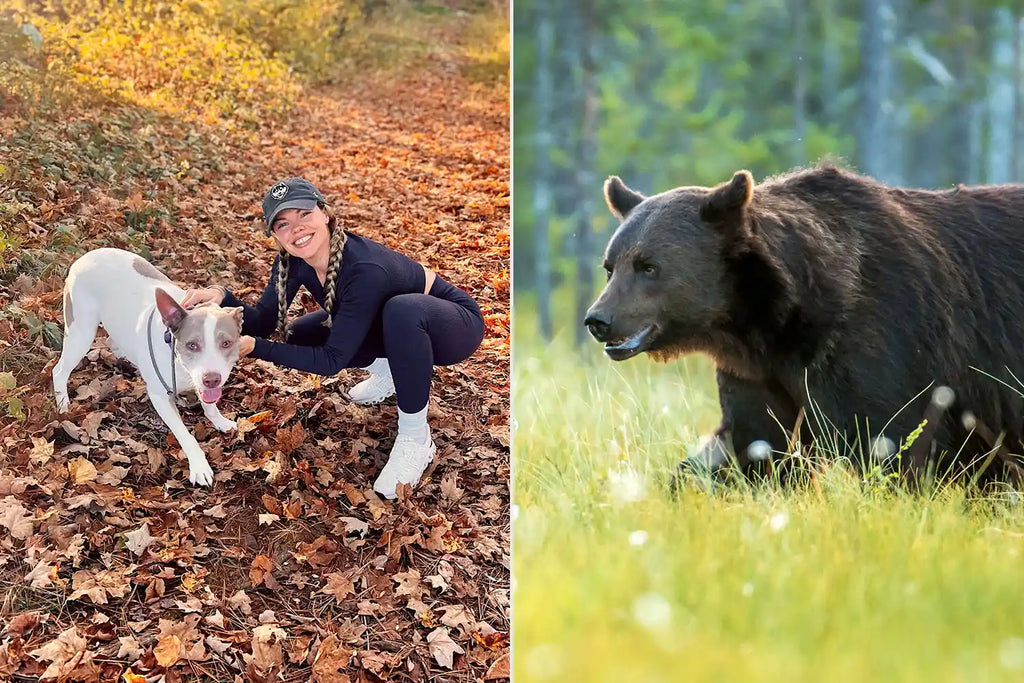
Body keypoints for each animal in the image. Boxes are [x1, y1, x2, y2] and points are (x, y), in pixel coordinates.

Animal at [584, 164, 1024, 483]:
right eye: (610, 266)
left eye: (649, 266)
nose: (598, 320)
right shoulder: (761, 374)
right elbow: (752, 443)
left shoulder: (885, 339)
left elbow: (895, 441)